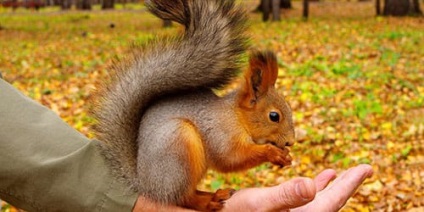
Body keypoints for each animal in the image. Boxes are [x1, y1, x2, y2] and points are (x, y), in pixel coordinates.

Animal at [93, 0, 294, 210]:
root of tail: (147, 186)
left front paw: (285, 155)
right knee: (183, 197)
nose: (291, 142)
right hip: (178, 149)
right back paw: (209, 202)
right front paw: (273, 153)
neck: (236, 116)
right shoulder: (220, 133)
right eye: (274, 116)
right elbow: (230, 158)